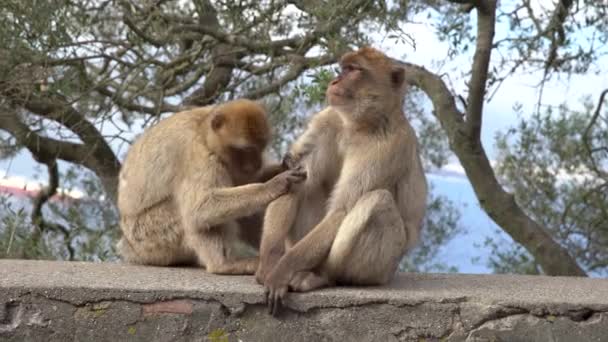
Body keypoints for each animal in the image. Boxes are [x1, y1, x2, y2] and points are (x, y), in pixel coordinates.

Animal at [116, 97, 306, 274]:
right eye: (247, 149)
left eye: (261, 147)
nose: (257, 163)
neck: (203, 131)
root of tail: (129, 249)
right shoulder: (197, 153)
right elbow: (200, 207)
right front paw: (274, 184)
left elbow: (242, 181)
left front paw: (285, 165)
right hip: (151, 237)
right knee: (190, 215)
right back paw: (224, 265)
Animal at [256, 46, 428, 314]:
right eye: (343, 68)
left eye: (353, 70)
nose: (335, 80)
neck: (359, 123)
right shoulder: (327, 119)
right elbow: (294, 177)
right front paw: (269, 264)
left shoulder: (388, 146)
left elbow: (342, 209)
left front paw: (281, 271)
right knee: (308, 185)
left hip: (383, 268)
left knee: (377, 201)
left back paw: (324, 276)